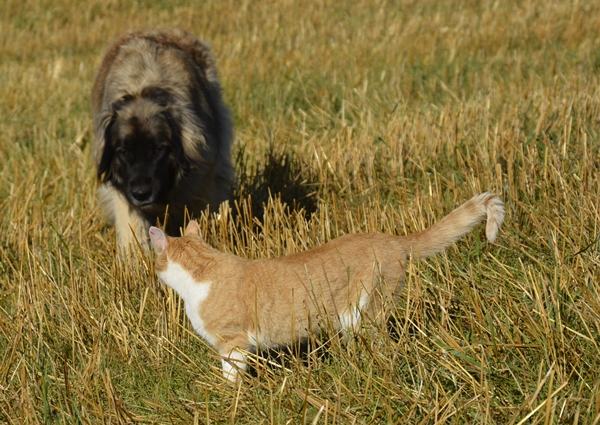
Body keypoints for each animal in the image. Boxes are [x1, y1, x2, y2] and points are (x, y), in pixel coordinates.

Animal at [92, 29, 234, 248]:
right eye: (124, 152)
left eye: (158, 149)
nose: (141, 194)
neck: (143, 90)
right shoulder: (125, 196)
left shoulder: (202, 182)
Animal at [149, 191, 502, 380]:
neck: (202, 270)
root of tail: (392, 240)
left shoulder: (232, 342)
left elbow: (230, 375)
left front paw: (229, 398)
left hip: (363, 312)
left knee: (384, 348)